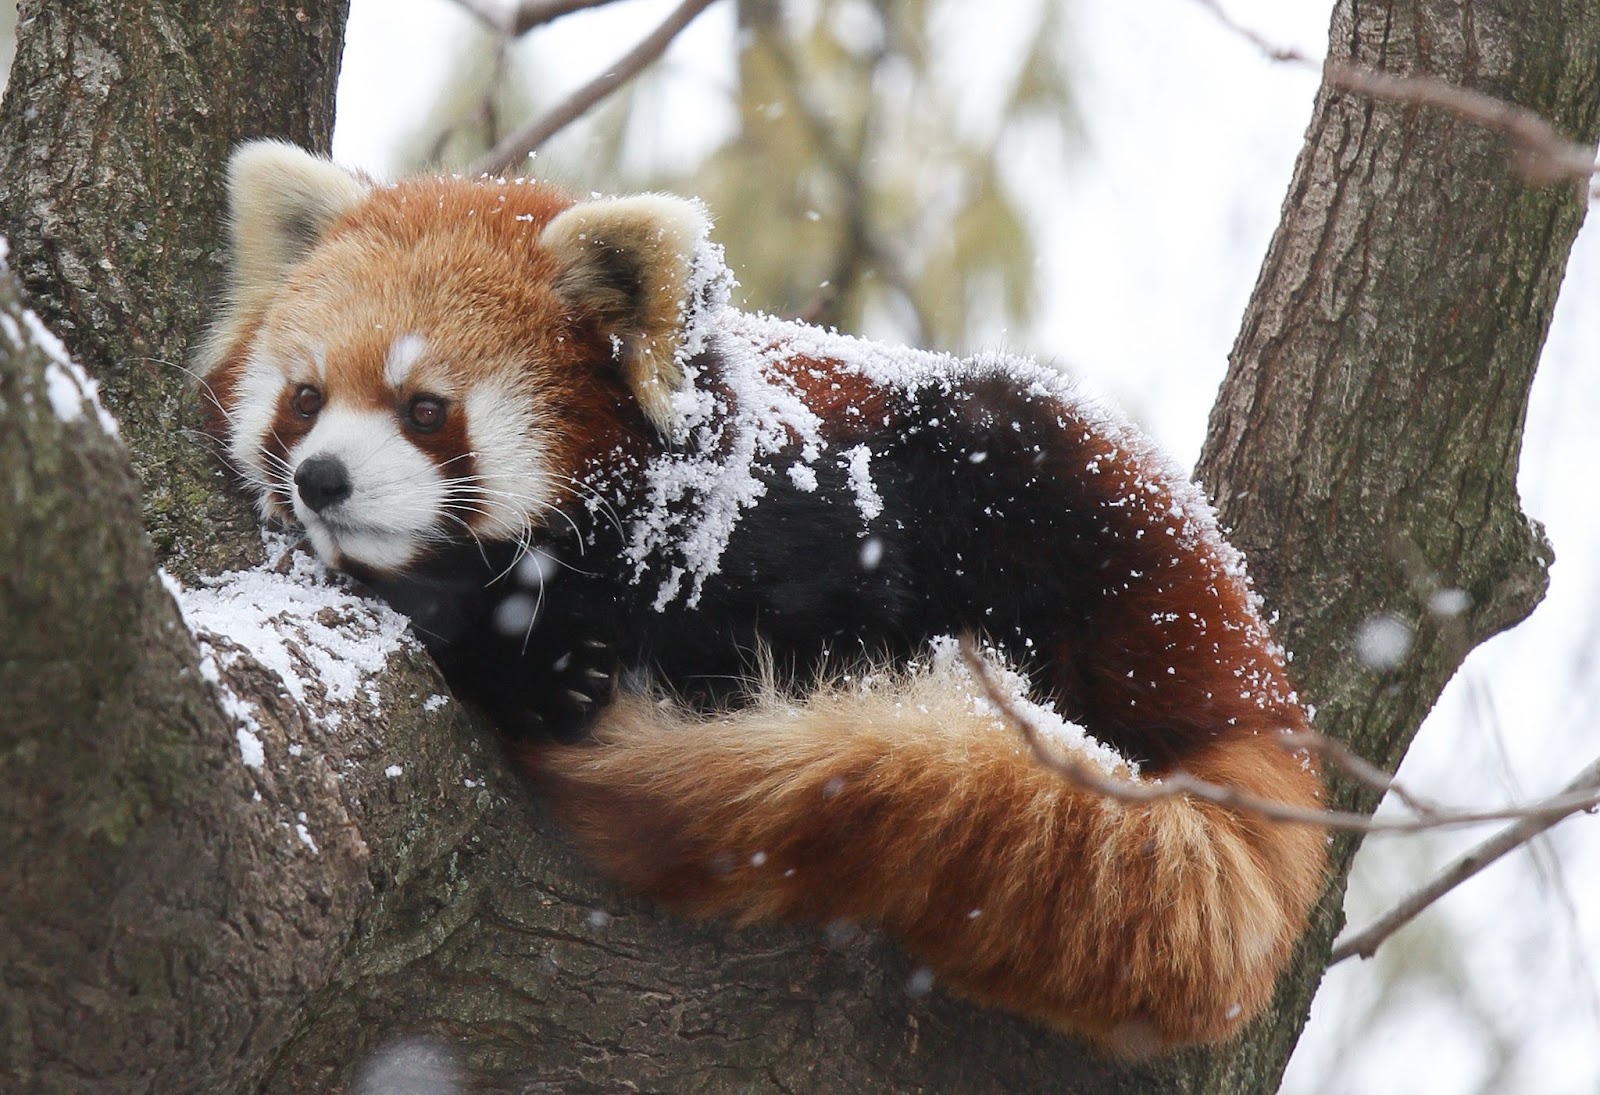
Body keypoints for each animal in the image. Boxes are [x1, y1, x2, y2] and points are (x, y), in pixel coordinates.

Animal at [196, 140, 1324, 1056]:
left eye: (426, 409)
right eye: (304, 398)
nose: (321, 479)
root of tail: (1251, 669)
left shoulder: (817, 516)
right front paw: (530, 667)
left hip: (1067, 513)